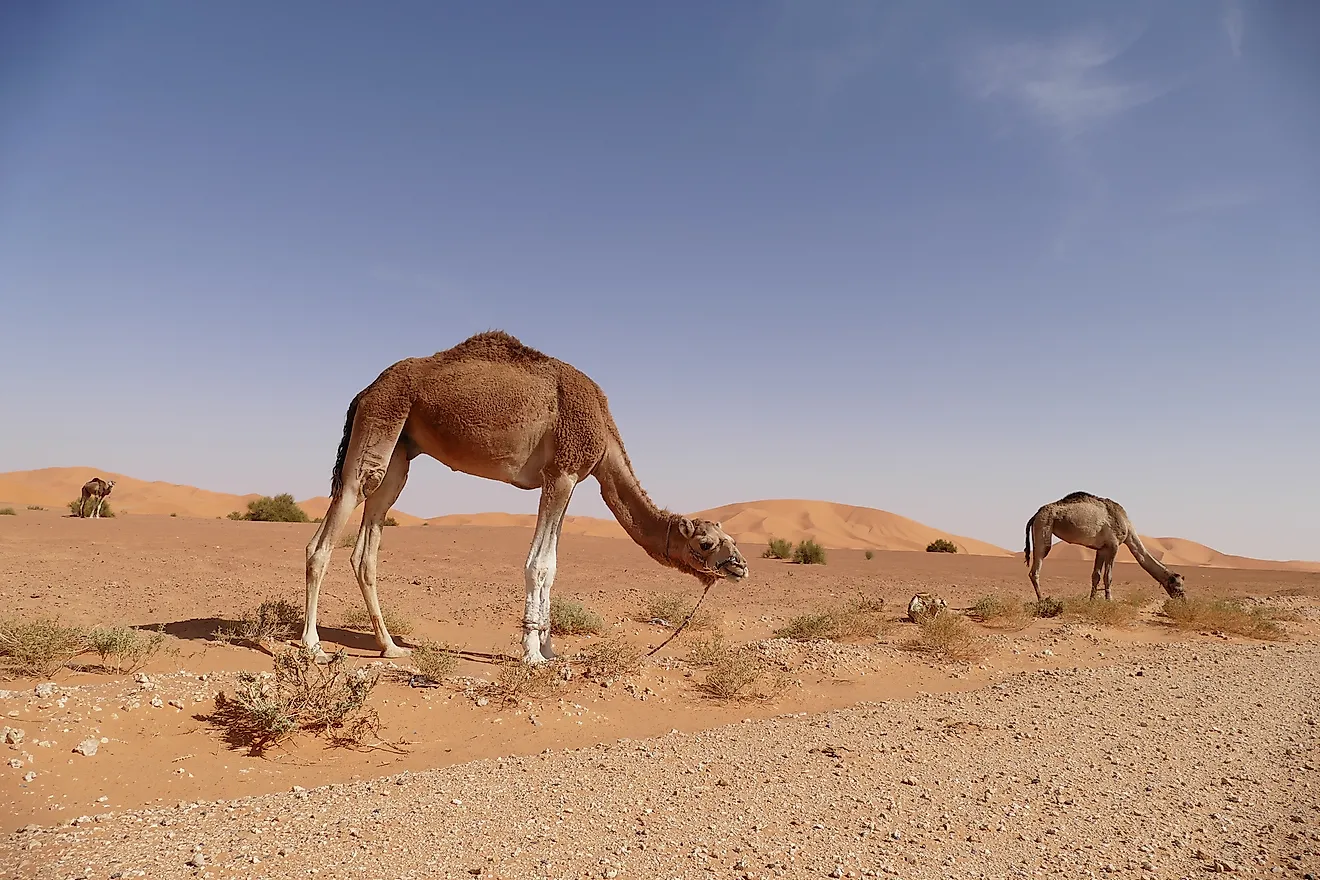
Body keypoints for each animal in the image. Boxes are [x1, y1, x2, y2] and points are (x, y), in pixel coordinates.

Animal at [302, 333, 749, 664]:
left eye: (730, 539)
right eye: (706, 543)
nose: (740, 566)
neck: (603, 436)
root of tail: (365, 391)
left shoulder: (569, 479)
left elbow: (553, 566)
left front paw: (549, 648)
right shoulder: (562, 473)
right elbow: (540, 565)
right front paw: (533, 654)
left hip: (399, 448)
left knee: (369, 539)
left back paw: (390, 646)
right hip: (380, 421)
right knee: (327, 533)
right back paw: (313, 646)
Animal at [1019, 493, 1188, 601]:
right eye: (1177, 587)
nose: (1184, 600)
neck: (1127, 527)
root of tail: (1035, 514)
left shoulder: (1101, 549)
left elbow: (1096, 575)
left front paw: (1092, 600)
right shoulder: (1113, 546)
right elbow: (1108, 576)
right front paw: (1109, 599)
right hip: (1044, 525)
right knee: (1035, 569)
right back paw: (1042, 600)